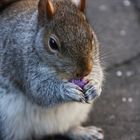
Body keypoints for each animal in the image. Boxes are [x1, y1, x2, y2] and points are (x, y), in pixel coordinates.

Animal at [0, 0, 104, 139]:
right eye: (52, 43)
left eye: (91, 36)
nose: (84, 71)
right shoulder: (20, 62)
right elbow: (38, 90)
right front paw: (65, 90)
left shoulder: (95, 61)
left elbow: (98, 72)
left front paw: (94, 86)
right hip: (8, 124)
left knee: (67, 129)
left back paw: (85, 133)